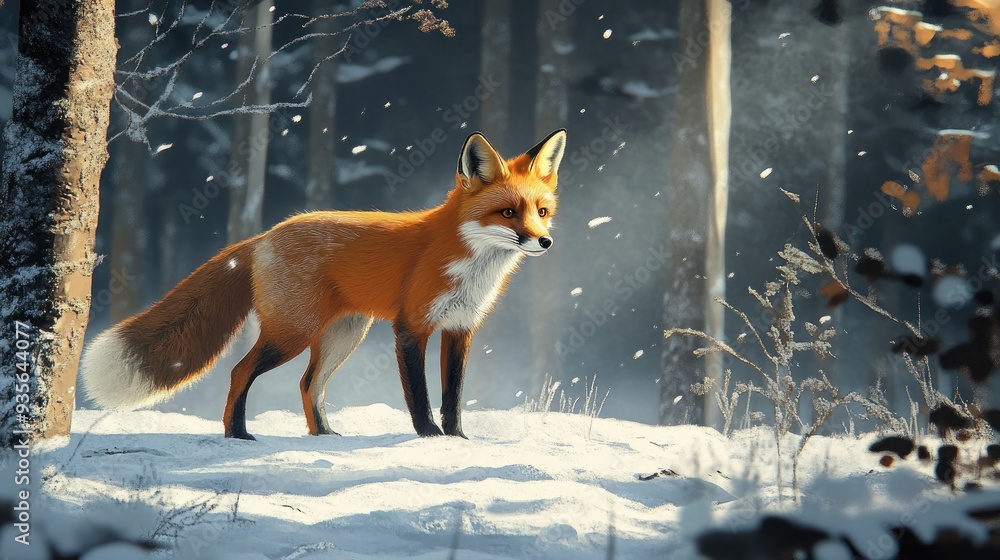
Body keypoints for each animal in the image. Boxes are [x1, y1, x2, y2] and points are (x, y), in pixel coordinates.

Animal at [80, 129, 567, 440]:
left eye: (541, 211)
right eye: (508, 213)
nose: (545, 242)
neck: (469, 263)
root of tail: (265, 235)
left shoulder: (461, 330)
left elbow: (455, 396)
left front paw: (458, 440)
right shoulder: (411, 326)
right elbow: (420, 395)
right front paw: (428, 436)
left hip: (342, 335)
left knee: (308, 384)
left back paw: (324, 436)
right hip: (294, 333)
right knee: (241, 372)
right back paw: (237, 435)